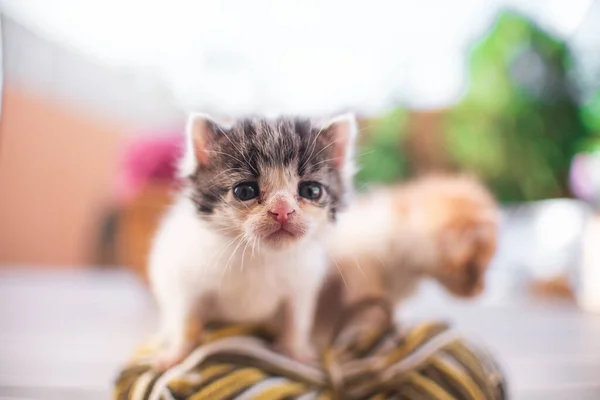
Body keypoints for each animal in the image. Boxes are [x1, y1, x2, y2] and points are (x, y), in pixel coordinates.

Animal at [149, 111, 356, 368]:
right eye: (245, 191)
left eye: (311, 191)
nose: (282, 210)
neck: (261, 256)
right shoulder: (186, 278)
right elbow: (186, 317)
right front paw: (176, 353)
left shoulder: (302, 284)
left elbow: (296, 318)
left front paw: (297, 351)